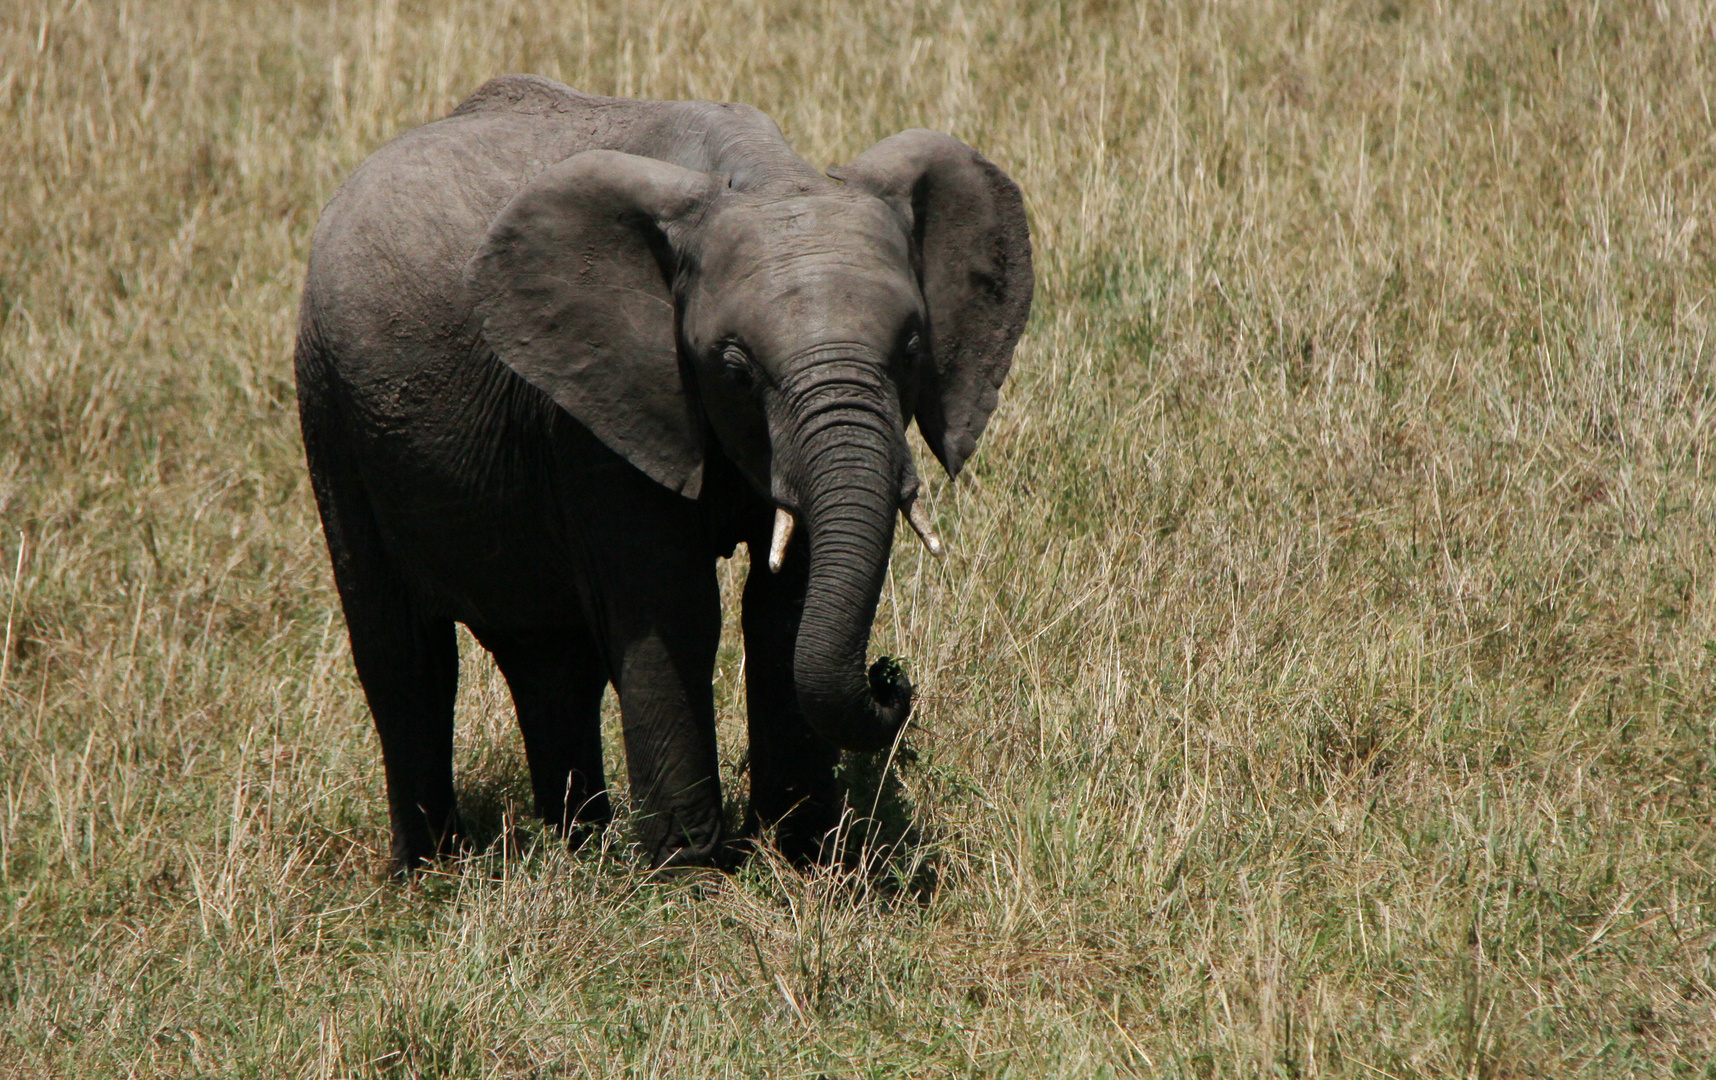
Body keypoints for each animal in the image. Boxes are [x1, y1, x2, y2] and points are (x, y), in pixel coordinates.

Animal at [295, 73, 1029, 868]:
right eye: (735, 370)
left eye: (912, 348)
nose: (890, 677)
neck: (757, 170)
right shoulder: (594, 402)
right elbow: (673, 607)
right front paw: (693, 873)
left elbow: (783, 607)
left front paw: (805, 857)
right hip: (331, 408)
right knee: (406, 657)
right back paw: (432, 869)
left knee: (553, 659)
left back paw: (578, 844)